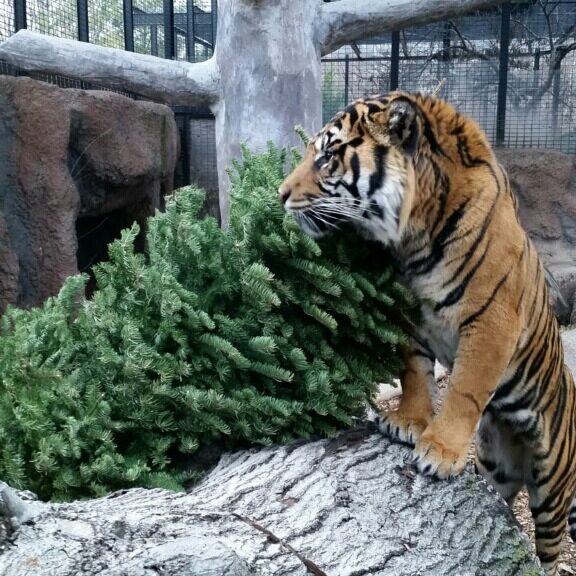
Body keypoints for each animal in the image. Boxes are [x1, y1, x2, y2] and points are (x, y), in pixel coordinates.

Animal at [278, 91, 576, 576]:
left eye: (326, 156)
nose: (280, 194)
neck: (414, 238)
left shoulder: (492, 322)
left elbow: (464, 390)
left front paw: (439, 449)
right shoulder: (409, 310)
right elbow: (414, 373)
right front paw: (408, 423)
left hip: (552, 484)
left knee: (548, 550)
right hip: (497, 467)